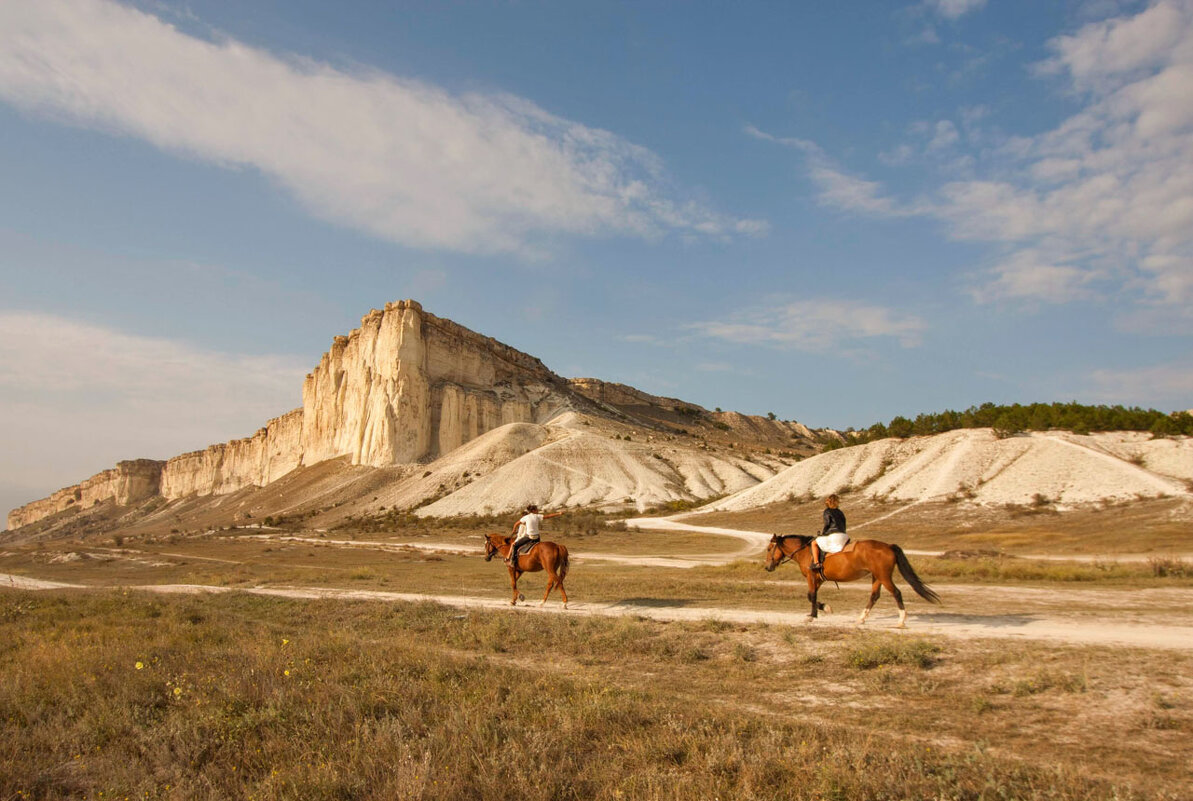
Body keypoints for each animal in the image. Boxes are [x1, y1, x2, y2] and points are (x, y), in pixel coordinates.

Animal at [763, 534, 940, 630]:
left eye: (769, 548)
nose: (767, 567)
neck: (806, 551)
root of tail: (888, 546)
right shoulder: (818, 579)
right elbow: (810, 596)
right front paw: (825, 608)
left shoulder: (811, 577)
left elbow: (811, 595)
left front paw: (812, 616)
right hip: (877, 577)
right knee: (874, 596)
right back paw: (861, 619)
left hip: (883, 577)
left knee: (896, 593)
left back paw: (901, 621)